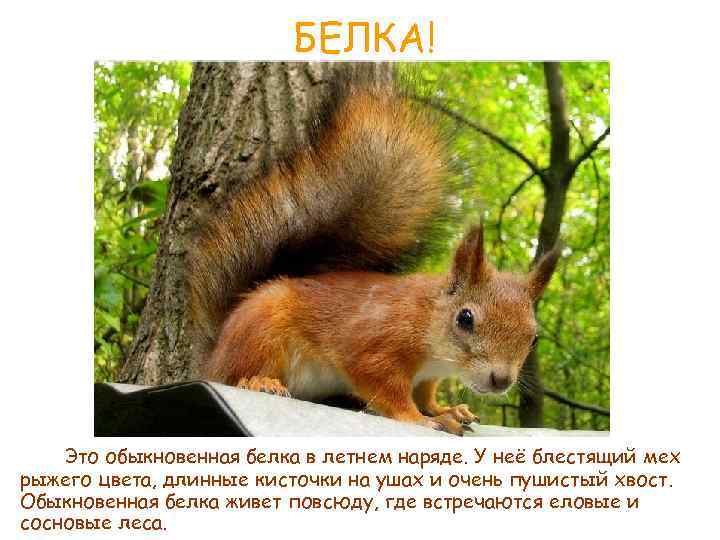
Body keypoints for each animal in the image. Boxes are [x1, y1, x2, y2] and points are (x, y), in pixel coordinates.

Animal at [188, 65, 560, 436]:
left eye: (534, 338)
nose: (501, 380)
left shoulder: (427, 376)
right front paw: (421, 419)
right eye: (465, 319)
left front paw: (446, 409)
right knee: (237, 373)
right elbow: (388, 391)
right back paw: (259, 382)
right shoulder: (373, 347)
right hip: (261, 332)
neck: (430, 325)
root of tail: (216, 350)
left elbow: (425, 393)